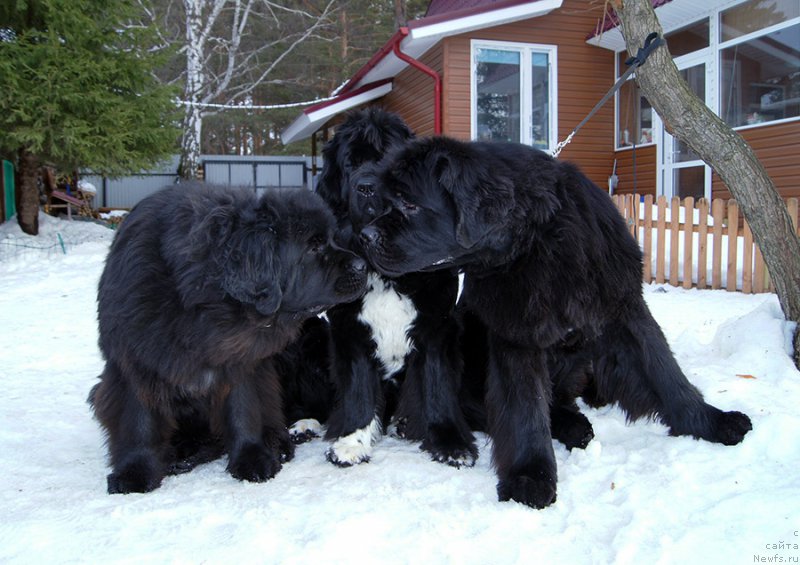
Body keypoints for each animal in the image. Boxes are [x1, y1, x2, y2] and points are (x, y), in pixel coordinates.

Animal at [90, 183, 368, 492]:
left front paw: (253, 459)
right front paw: (134, 472)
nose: (362, 264)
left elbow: (243, 407)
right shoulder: (135, 357)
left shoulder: (240, 359)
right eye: (313, 246)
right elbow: (139, 418)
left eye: (331, 239)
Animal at [314, 107, 478, 468]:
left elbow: (437, 384)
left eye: (389, 164)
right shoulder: (349, 329)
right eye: (351, 163)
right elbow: (358, 389)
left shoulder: (437, 327)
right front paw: (352, 441)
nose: (366, 187)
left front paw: (450, 443)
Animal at [360, 137, 752, 506]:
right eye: (386, 202)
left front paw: (709, 421)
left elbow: (665, 372)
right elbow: (526, 408)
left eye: (409, 204)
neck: (537, 243)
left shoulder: (624, 307)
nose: (365, 236)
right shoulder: (517, 334)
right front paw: (530, 476)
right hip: (454, 330)